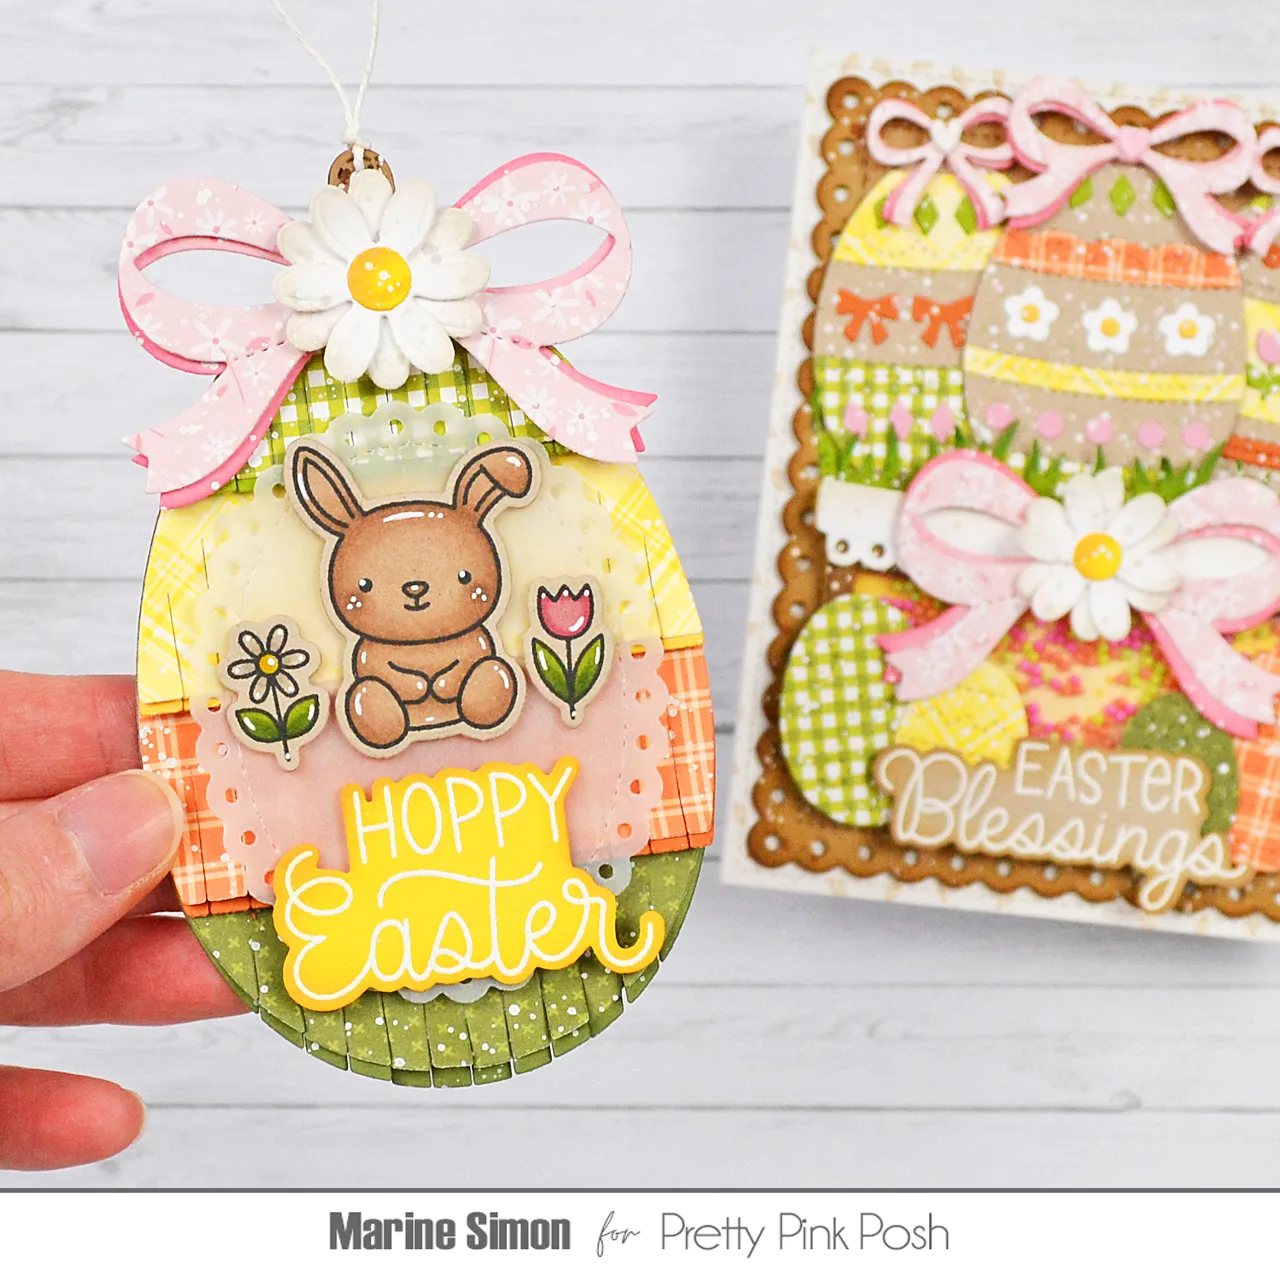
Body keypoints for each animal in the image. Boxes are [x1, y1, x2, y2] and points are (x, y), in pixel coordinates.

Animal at [287, 438, 539, 753]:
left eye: (464, 576)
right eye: (365, 584)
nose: (415, 588)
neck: (421, 645)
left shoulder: (479, 641)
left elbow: (464, 663)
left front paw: (438, 682)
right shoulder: (367, 657)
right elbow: (391, 673)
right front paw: (420, 683)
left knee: (492, 670)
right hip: (366, 693)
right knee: (368, 692)